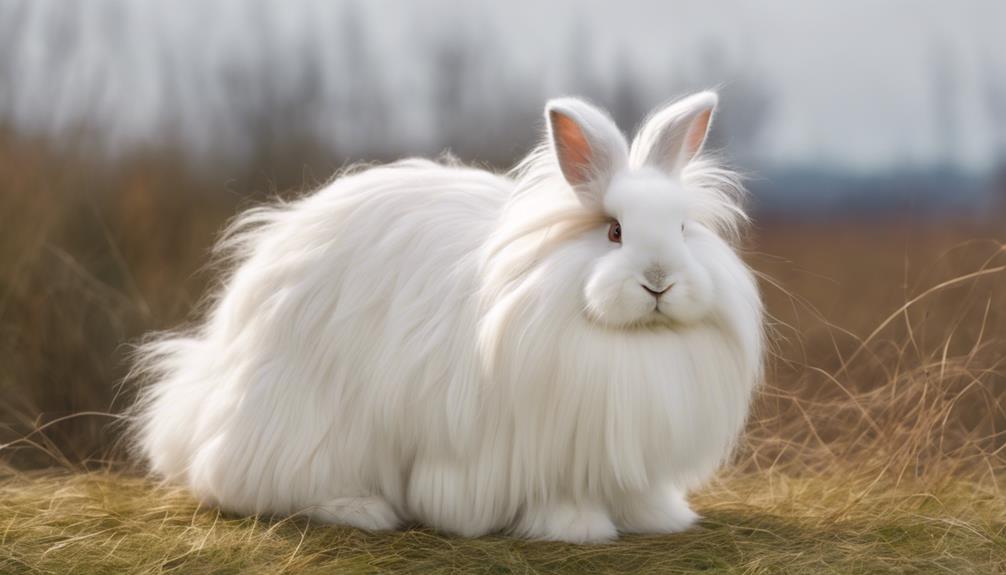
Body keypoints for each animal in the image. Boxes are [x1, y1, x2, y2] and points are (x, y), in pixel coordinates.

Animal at [131, 91, 760, 542]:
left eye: (683, 228)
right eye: (613, 232)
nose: (659, 281)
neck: (625, 340)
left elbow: (636, 495)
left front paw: (659, 519)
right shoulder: (540, 451)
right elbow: (560, 497)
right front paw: (576, 528)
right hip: (297, 420)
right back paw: (361, 509)